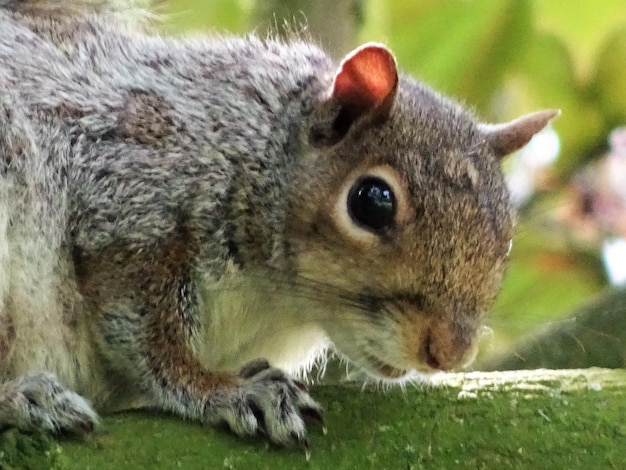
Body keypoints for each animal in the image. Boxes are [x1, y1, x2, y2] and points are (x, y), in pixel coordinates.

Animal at [0, 0, 556, 448]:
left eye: (507, 236)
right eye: (371, 202)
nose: (450, 352)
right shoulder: (130, 196)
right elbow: (147, 334)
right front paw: (223, 390)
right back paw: (24, 397)